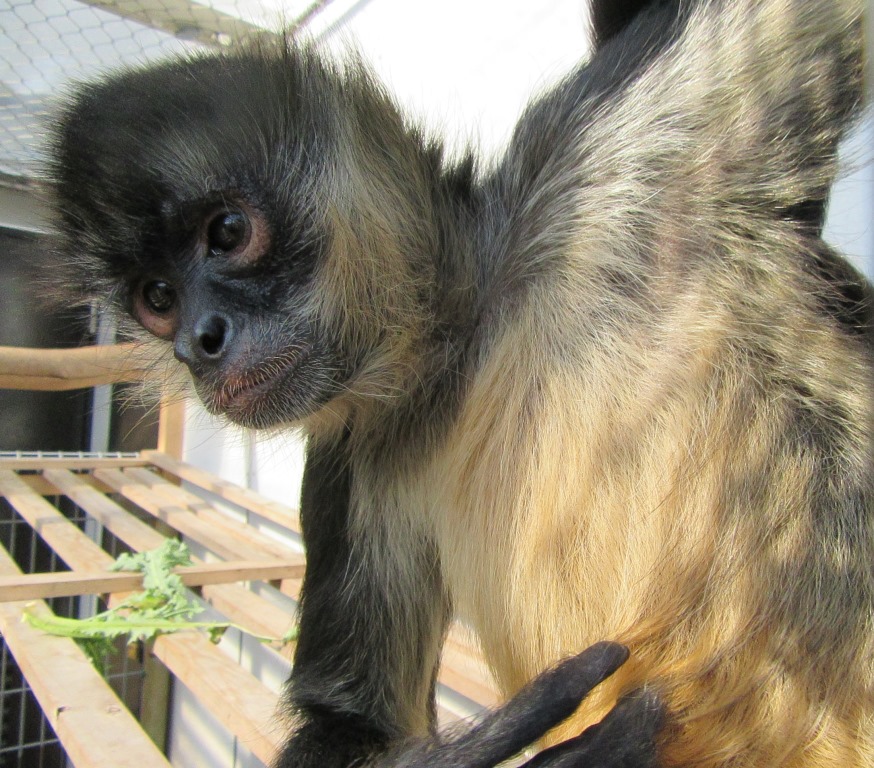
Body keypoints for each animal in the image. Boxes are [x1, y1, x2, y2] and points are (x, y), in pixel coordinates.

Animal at [49, 0, 872, 764]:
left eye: (226, 232)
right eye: (158, 298)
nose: (200, 342)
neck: (468, 353)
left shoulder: (617, 145)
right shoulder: (354, 454)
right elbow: (354, 721)